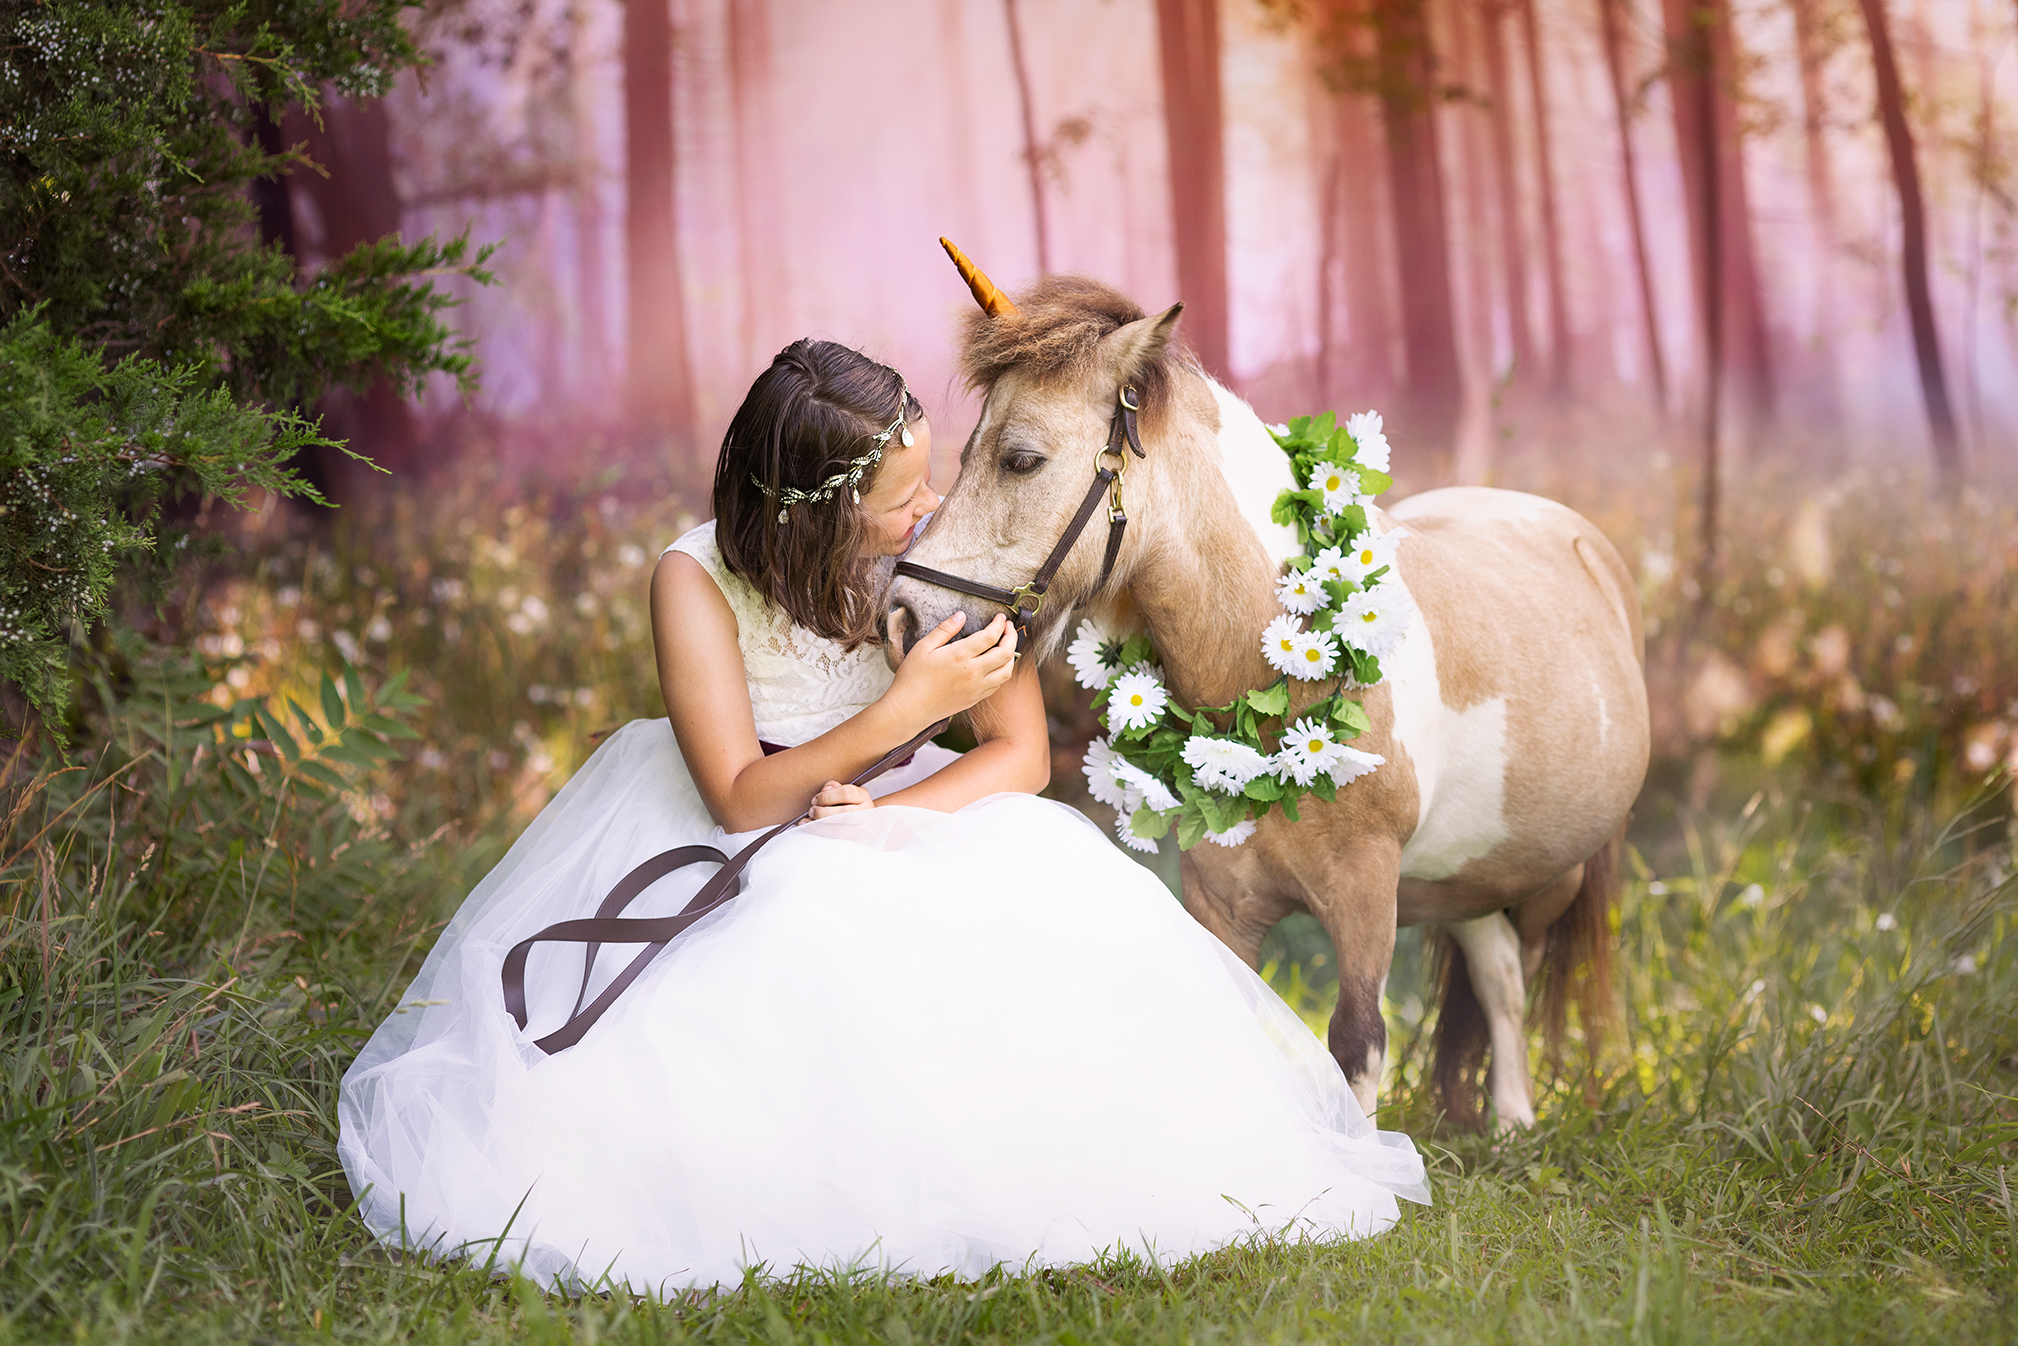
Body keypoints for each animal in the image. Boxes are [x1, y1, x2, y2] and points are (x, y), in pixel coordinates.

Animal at [886, 260, 1649, 1129]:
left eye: (1020, 460)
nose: (903, 616)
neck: (1275, 686)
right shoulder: (1220, 898)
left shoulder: (1365, 896)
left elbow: (1356, 1042)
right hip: (1471, 873)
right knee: (1493, 965)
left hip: (1547, 878)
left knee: (1513, 974)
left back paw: (1515, 1119)